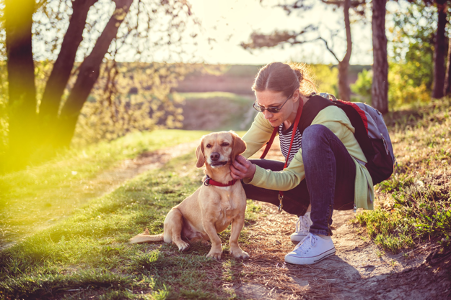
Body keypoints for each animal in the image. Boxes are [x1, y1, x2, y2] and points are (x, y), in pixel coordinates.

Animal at [130, 131, 251, 260]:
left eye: (225, 144)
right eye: (208, 146)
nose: (214, 156)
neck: (222, 185)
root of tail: (164, 234)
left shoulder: (239, 218)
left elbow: (233, 238)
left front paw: (237, 252)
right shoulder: (208, 221)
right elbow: (216, 239)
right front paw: (215, 253)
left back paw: (202, 242)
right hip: (175, 215)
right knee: (175, 238)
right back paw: (183, 244)